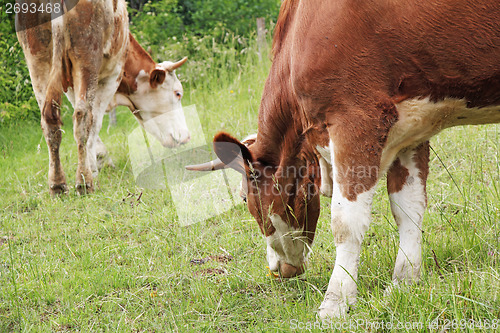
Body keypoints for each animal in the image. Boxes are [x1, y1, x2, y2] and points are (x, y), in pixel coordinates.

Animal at [16, 0, 189, 195]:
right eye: (178, 93)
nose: (186, 136)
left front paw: (98, 160)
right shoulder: (111, 77)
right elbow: (94, 122)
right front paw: (95, 165)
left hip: (38, 60)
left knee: (50, 122)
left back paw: (58, 185)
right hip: (87, 58)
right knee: (81, 118)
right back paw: (84, 182)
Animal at [188, 0, 500, 320]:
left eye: (243, 199)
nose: (277, 270)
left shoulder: (357, 117)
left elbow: (345, 222)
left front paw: (336, 302)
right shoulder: (411, 131)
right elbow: (408, 208)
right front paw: (404, 281)